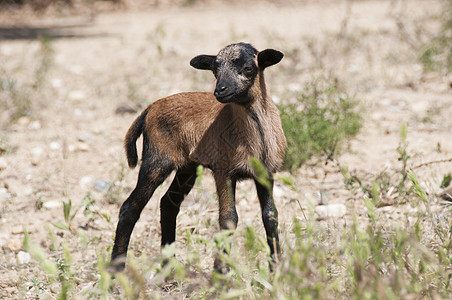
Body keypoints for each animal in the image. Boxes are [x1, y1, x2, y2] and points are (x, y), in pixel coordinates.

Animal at [109, 42, 286, 272]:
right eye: (215, 70)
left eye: (248, 68)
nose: (220, 90)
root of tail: (148, 109)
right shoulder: (223, 171)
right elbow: (228, 218)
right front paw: (221, 272)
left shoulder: (266, 173)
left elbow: (270, 216)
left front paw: (277, 269)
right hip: (157, 160)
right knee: (129, 208)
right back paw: (116, 271)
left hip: (187, 168)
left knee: (168, 204)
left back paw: (170, 267)